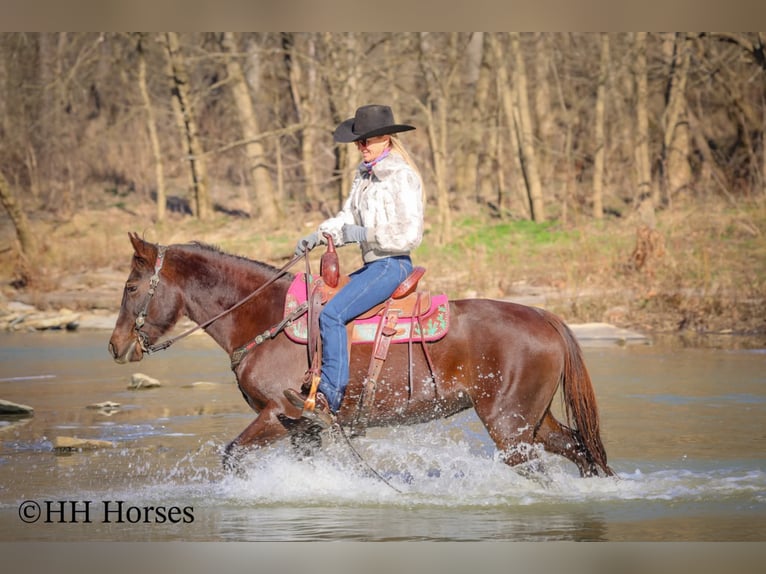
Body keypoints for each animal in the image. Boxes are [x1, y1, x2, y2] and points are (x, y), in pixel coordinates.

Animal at [108, 232, 614, 478]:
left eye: (131, 287)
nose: (115, 346)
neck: (267, 318)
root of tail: (544, 316)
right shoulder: (305, 429)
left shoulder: (277, 415)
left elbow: (232, 456)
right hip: (532, 420)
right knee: (582, 450)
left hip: (509, 426)